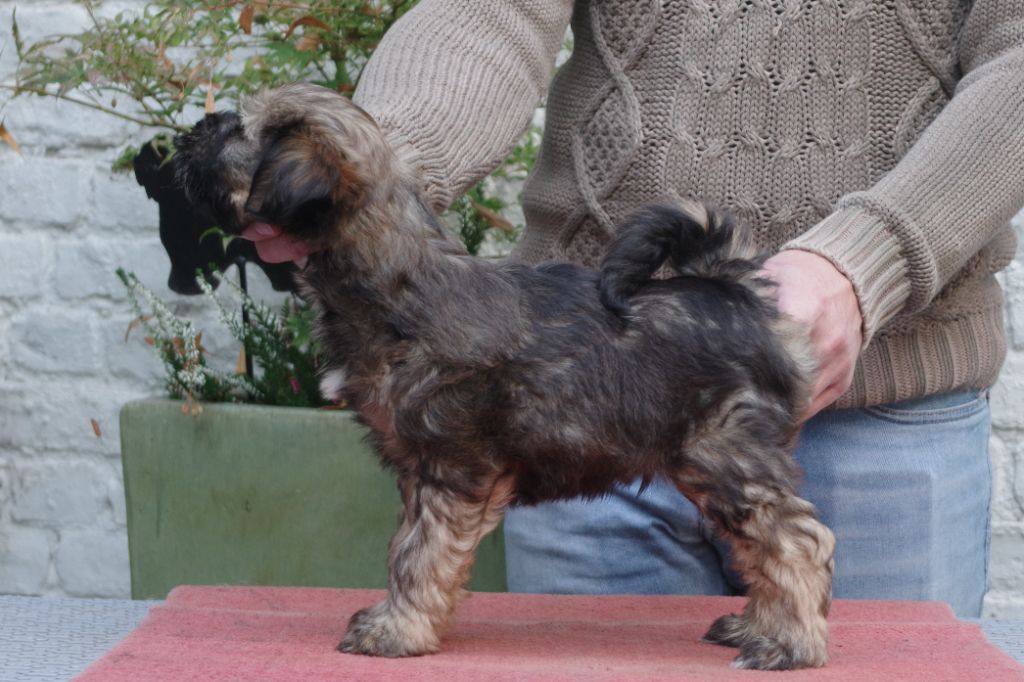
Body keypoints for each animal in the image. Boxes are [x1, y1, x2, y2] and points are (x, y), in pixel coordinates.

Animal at [174, 83, 835, 671]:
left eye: (239, 132)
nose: (191, 132)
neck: (395, 283)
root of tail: (736, 292)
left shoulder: (449, 467)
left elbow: (419, 554)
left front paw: (399, 630)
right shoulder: (421, 474)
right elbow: (408, 547)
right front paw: (403, 619)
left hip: (722, 455)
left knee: (796, 541)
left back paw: (790, 644)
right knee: (764, 548)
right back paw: (757, 626)